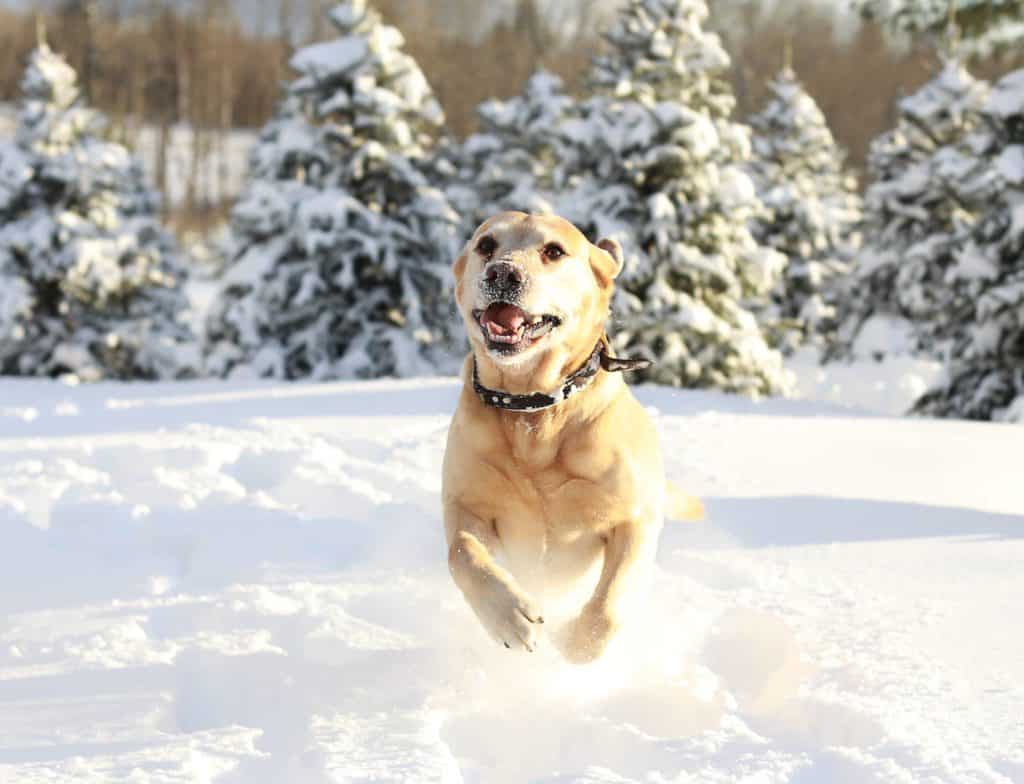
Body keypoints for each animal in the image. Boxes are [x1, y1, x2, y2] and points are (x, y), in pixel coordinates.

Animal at [442, 212, 704, 663]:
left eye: (554, 251)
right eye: (486, 245)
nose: (503, 273)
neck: (534, 411)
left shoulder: (633, 517)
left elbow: (610, 605)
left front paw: (575, 643)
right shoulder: (466, 505)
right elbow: (463, 553)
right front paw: (511, 618)